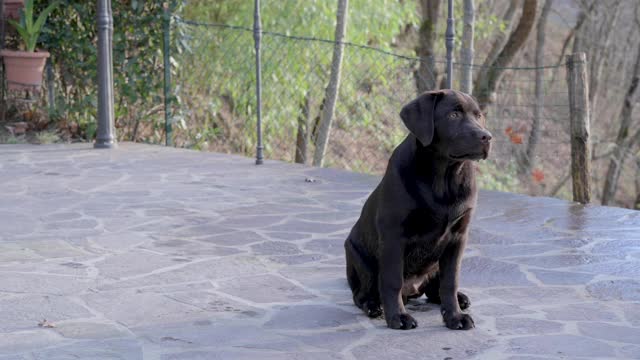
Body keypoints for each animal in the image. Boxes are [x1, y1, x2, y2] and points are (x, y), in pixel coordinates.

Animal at [344, 89, 490, 330]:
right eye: (453, 115)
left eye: (478, 116)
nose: (487, 137)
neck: (443, 178)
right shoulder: (394, 235)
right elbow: (392, 280)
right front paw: (398, 317)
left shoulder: (458, 236)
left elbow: (450, 282)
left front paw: (455, 316)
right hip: (359, 256)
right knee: (362, 293)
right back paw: (374, 305)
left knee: (434, 291)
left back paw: (459, 299)